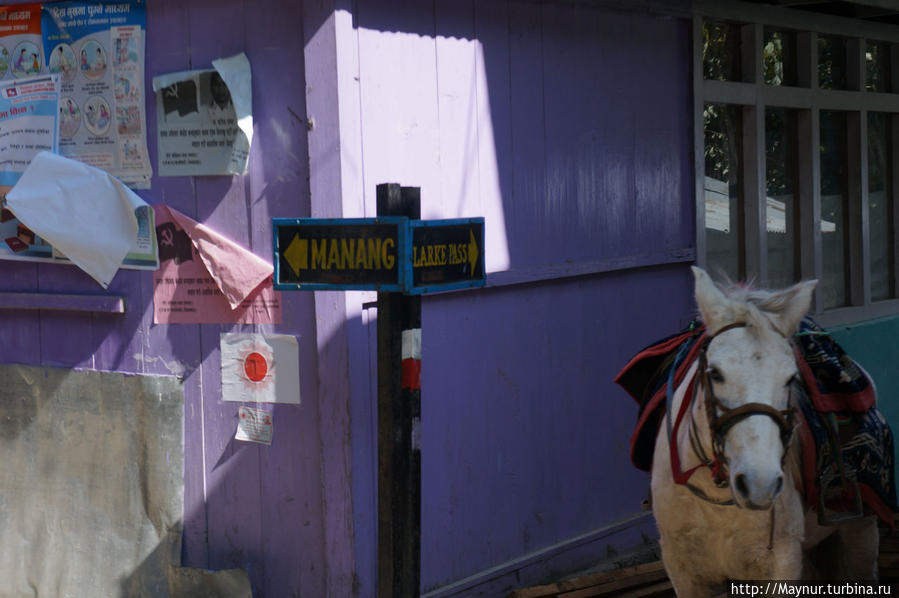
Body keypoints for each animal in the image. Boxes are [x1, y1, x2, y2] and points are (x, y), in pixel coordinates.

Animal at [652, 270, 884, 596]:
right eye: (715, 373)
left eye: (790, 378)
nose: (759, 483)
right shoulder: (683, 570)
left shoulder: (782, 563)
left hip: (861, 532)